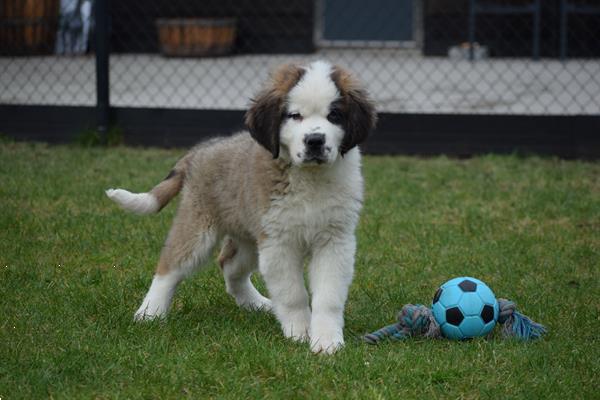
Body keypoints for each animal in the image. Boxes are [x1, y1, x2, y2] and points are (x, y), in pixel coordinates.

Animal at [103, 60, 376, 354]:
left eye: (334, 115)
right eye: (294, 116)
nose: (315, 141)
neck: (310, 179)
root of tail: (200, 150)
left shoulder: (334, 240)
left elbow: (328, 296)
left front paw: (326, 340)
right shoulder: (278, 243)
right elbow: (293, 294)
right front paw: (300, 332)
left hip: (250, 239)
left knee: (229, 265)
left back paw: (256, 304)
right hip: (199, 227)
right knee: (170, 265)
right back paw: (150, 312)